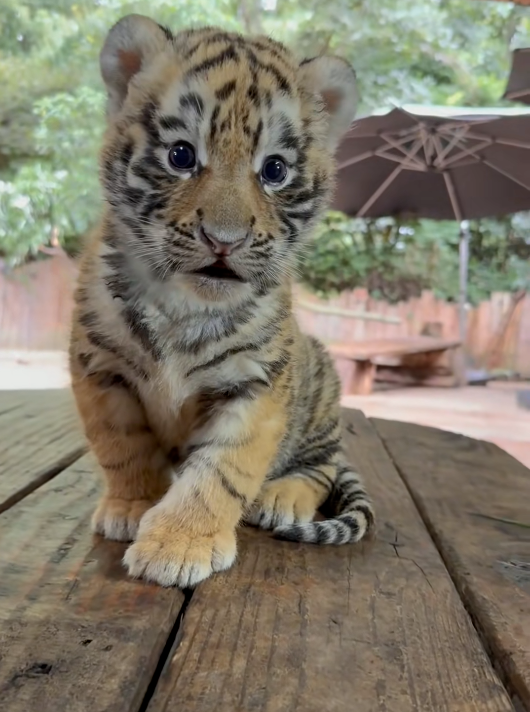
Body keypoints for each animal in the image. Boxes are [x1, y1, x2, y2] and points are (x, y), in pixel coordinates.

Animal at [69, 13, 375, 588]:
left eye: (274, 170)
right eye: (181, 156)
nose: (224, 240)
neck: (183, 305)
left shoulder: (257, 384)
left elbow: (221, 470)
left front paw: (177, 546)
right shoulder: (101, 368)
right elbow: (123, 446)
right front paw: (132, 506)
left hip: (321, 392)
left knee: (321, 467)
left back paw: (282, 498)